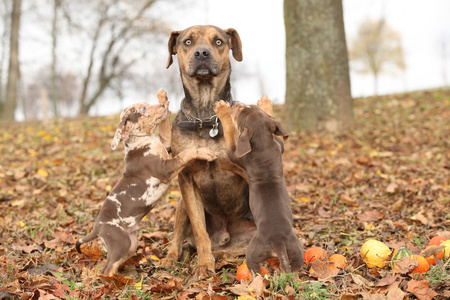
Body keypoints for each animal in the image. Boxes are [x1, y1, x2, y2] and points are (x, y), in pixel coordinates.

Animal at [76, 89, 217, 276]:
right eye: (143, 110)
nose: (161, 105)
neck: (142, 140)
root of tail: (97, 228)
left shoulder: (166, 145)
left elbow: (165, 127)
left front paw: (163, 97)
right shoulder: (165, 169)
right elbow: (185, 154)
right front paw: (204, 152)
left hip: (131, 244)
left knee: (109, 265)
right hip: (120, 243)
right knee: (107, 269)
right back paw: (113, 281)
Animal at [161, 24, 264, 278]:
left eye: (218, 41)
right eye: (188, 42)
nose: (202, 53)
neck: (206, 117)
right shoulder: (186, 179)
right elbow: (200, 231)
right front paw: (204, 265)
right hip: (181, 205)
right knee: (180, 237)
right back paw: (172, 257)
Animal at [214, 99, 306, 276]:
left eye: (238, 111)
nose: (234, 102)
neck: (263, 144)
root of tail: (278, 243)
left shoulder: (235, 154)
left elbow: (229, 133)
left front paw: (222, 110)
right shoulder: (279, 145)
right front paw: (266, 104)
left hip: (253, 251)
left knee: (254, 267)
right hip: (296, 248)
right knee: (296, 267)